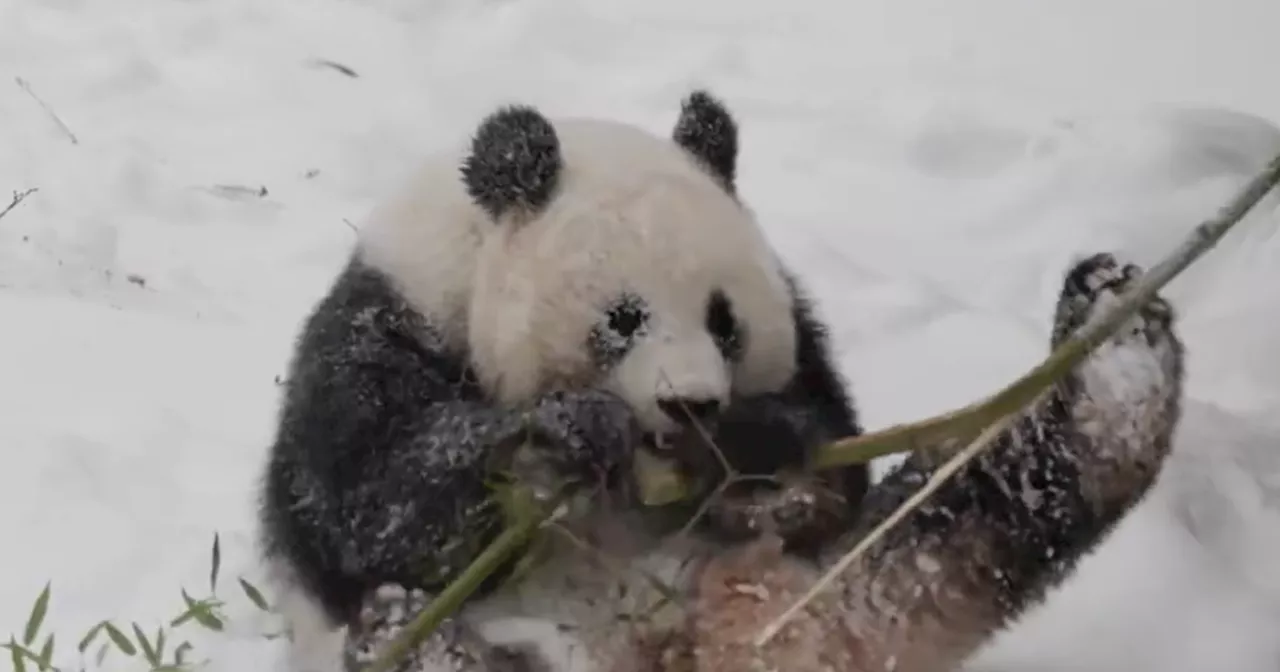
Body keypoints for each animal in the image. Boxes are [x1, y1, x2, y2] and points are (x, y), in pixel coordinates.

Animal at [254, 90, 875, 670]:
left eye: (724, 321)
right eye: (623, 318)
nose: (690, 403)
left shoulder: (806, 350)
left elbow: (833, 465)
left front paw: (750, 453)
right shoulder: (386, 320)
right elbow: (375, 511)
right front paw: (562, 435)